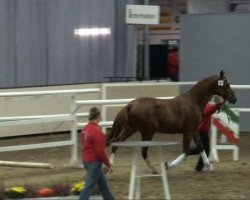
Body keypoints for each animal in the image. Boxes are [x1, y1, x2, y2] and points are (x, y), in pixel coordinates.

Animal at [107, 70, 236, 173]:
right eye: (227, 84)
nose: (234, 98)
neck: (193, 102)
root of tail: (131, 104)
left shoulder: (194, 130)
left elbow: (200, 147)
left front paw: (209, 166)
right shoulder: (188, 130)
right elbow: (186, 151)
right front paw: (168, 165)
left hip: (131, 128)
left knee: (117, 142)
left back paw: (108, 168)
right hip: (147, 132)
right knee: (143, 152)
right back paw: (154, 169)